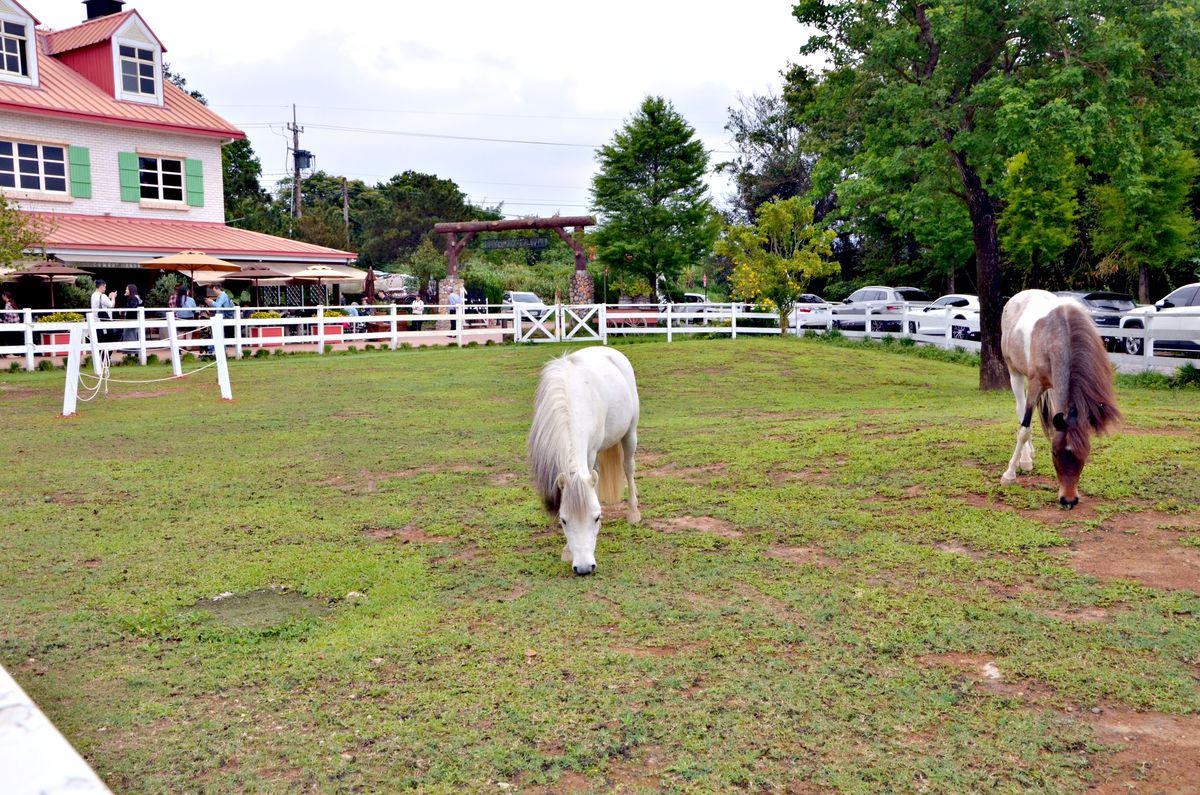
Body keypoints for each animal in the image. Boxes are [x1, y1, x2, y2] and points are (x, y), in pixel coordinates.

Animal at [528, 346, 641, 575]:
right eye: (563, 520)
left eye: (596, 517)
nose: (584, 568)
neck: (569, 402)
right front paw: (567, 550)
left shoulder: (590, 453)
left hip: (629, 434)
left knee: (628, 468)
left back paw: (633, 513)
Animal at [999, 289, 1121, 508]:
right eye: (1055, 453)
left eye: (1085, 453)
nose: (1069, 499)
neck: (1057, 338)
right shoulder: (1035, 384)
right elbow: (1024, 429)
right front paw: (1009, 474)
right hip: (1015, 372)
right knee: (1021, 411)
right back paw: (1025, 459)